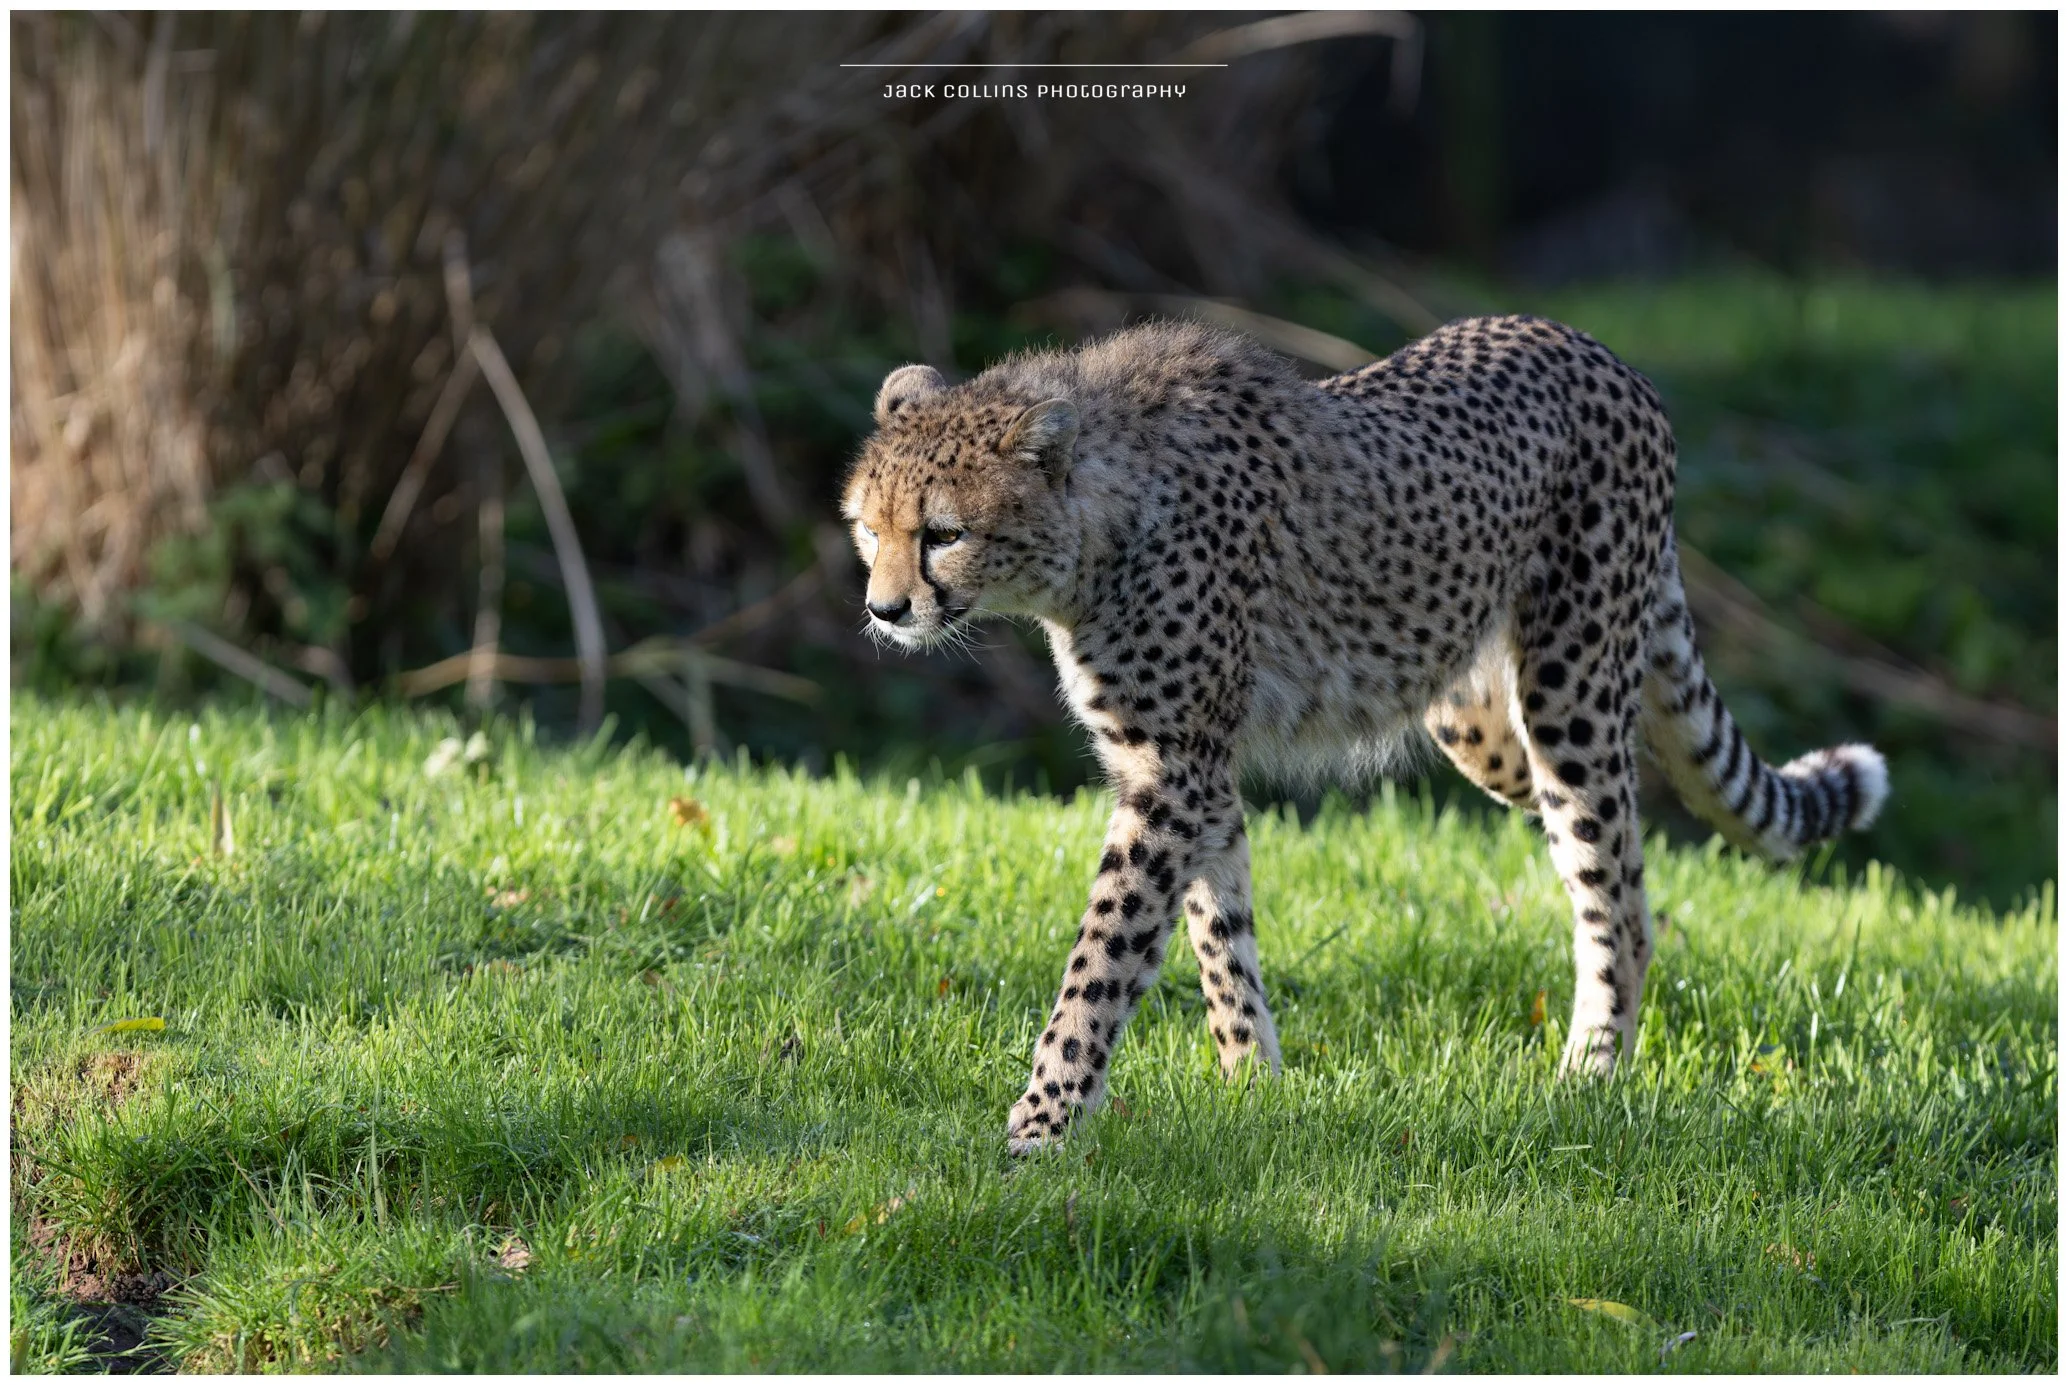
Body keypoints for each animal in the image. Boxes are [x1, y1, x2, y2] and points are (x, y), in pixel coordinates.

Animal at [841, 314, 1888, 1154]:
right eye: (867, 527)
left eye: (942, 533)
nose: (885, 610)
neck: (1098, 528)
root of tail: (1591, 346)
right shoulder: (1194, 771)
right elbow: (1219, 932)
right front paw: (1252, 1087)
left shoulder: (1172, 773)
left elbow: (1103, 958)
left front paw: (1040, 1126)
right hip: (1474, 718)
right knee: (1613, 846)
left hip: (1571, 690)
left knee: (1617, 893)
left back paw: (1589, 1078)